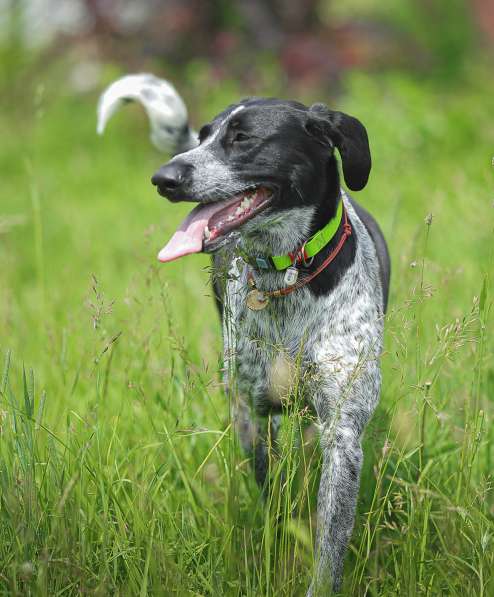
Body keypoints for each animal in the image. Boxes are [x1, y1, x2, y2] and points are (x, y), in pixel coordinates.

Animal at [97, 73, 390, 592]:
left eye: (243, 138)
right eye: (203, 137)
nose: (163, 178)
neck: (287, 276)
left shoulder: (343, 431)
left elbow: (331, 543)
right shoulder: (254, 415)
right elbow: (276, 500)